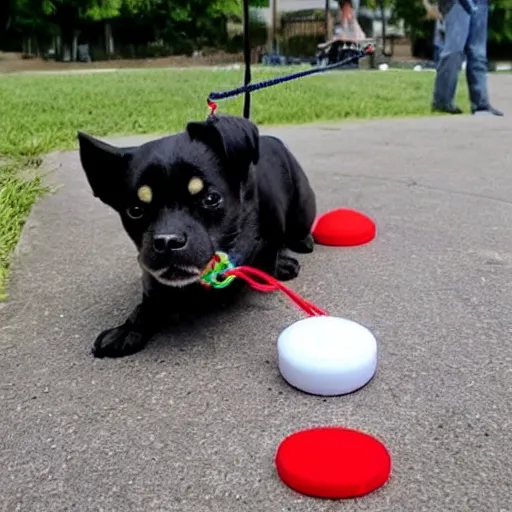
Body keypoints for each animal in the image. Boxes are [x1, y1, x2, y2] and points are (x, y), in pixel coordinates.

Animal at [77, 114, 314, 358]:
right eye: (135, 210)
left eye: (210, 199)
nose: (167, 241)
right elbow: (150, 299)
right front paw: (129, 327)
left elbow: (267, 256)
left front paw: (276, 267)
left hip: (303, 209)